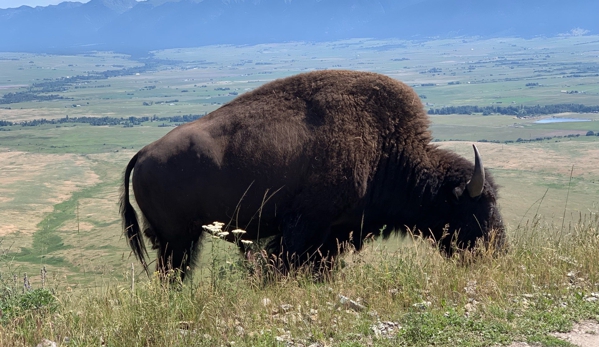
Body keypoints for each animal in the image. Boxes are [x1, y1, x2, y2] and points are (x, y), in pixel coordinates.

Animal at [122, 70, 506, 280]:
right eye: (475, 208)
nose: (497, 250)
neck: (386, 148)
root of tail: (143, 153)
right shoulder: (306, 229)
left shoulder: (330, 234)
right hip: (178, 241)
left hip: (179, 241)